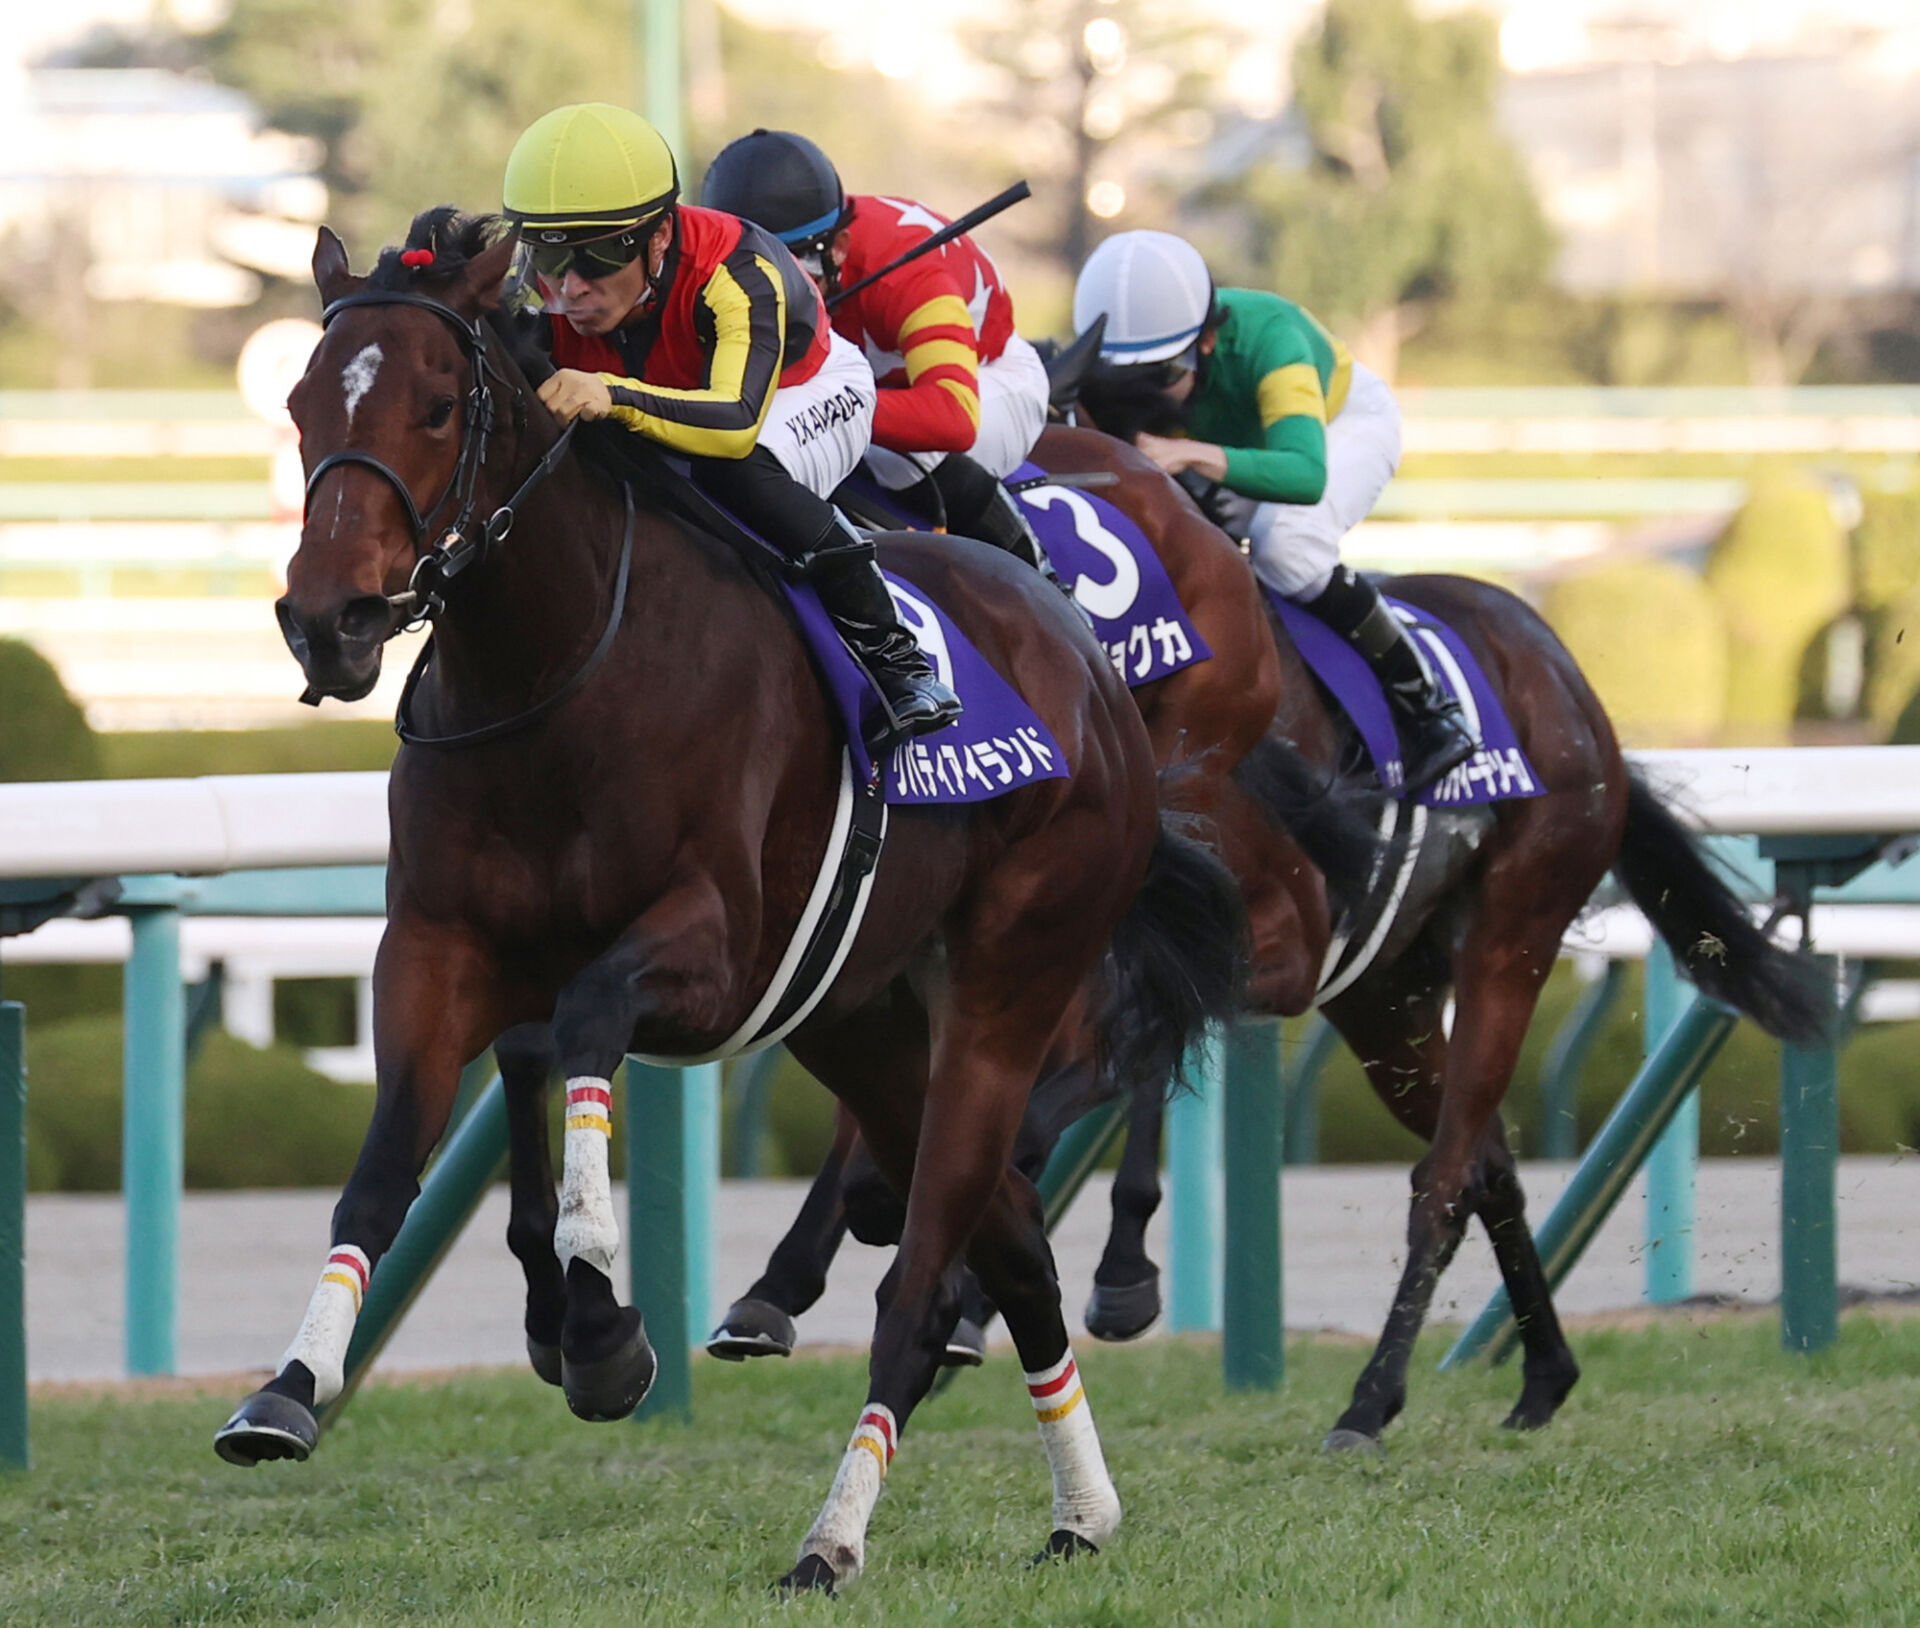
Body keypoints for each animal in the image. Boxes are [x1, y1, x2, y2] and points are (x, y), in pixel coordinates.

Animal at [210, 210, 1244, 1597]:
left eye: (435, 404)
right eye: (303, 402)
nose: (329, 620)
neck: (556, 670)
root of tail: (1088, 662)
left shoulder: (712, 957)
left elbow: (587, 1019)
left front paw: (601, 1316)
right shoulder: (436, 947)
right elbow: (387, 1168)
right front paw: (290, 1387)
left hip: (1008, 987)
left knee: (923, 1283)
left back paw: (834, 1534)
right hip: (862, 1019)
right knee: (1015, 1244)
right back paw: (1084, 1508)